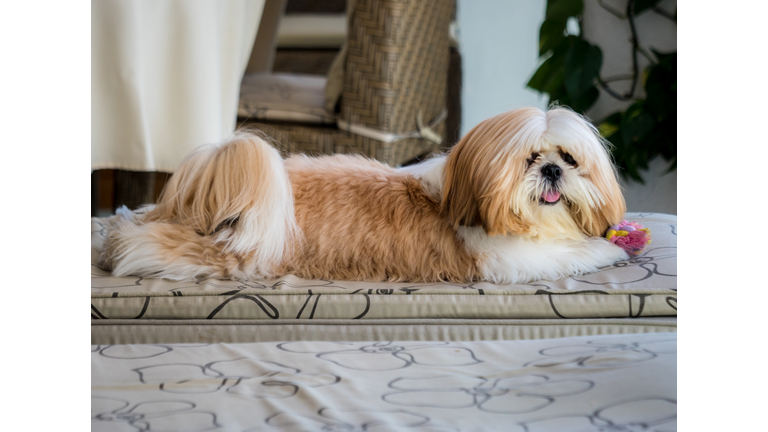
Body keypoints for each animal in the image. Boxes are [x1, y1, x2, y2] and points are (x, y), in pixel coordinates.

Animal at [99, 107, 628, 284]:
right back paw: (119, 244)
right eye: (528, 158)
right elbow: (572, 254)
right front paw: (607, 249)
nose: (552, 169)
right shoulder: (509, 259)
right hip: (237, 250)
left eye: (569, 157)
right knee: (150, 244)